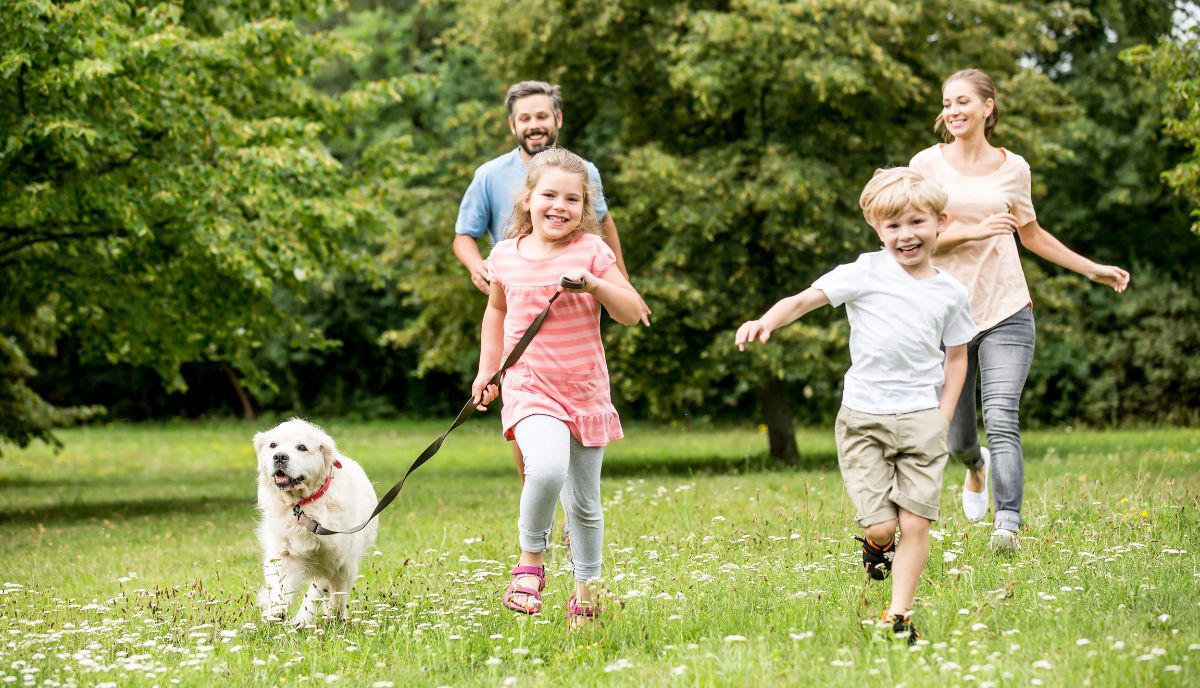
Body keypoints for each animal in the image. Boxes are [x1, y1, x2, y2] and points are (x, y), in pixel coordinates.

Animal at [255, 415, 376, 624]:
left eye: (302, 447)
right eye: (273, 445)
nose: (279, 456)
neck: (303, 506)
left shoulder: (334, 560)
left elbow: (315, 593)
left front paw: (302, 620)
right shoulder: (283, 553)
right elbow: (279, 586)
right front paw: (275, 610)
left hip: (348, 565)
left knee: (338, 591)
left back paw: (337, 614)